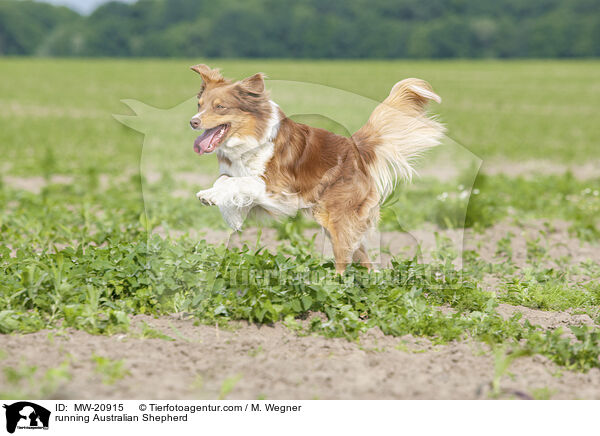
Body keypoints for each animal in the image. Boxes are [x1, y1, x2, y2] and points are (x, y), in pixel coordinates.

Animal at [190, 64, 442, 272]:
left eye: (220, 107)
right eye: (199, 105)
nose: (193, 121)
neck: (248, 139)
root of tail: (355, 147)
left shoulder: (277, 189)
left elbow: (239, 181)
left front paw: (210, 196)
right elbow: (225, 180)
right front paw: (214, 198)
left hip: (337, 218)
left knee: (344, 260)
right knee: (363, 258)